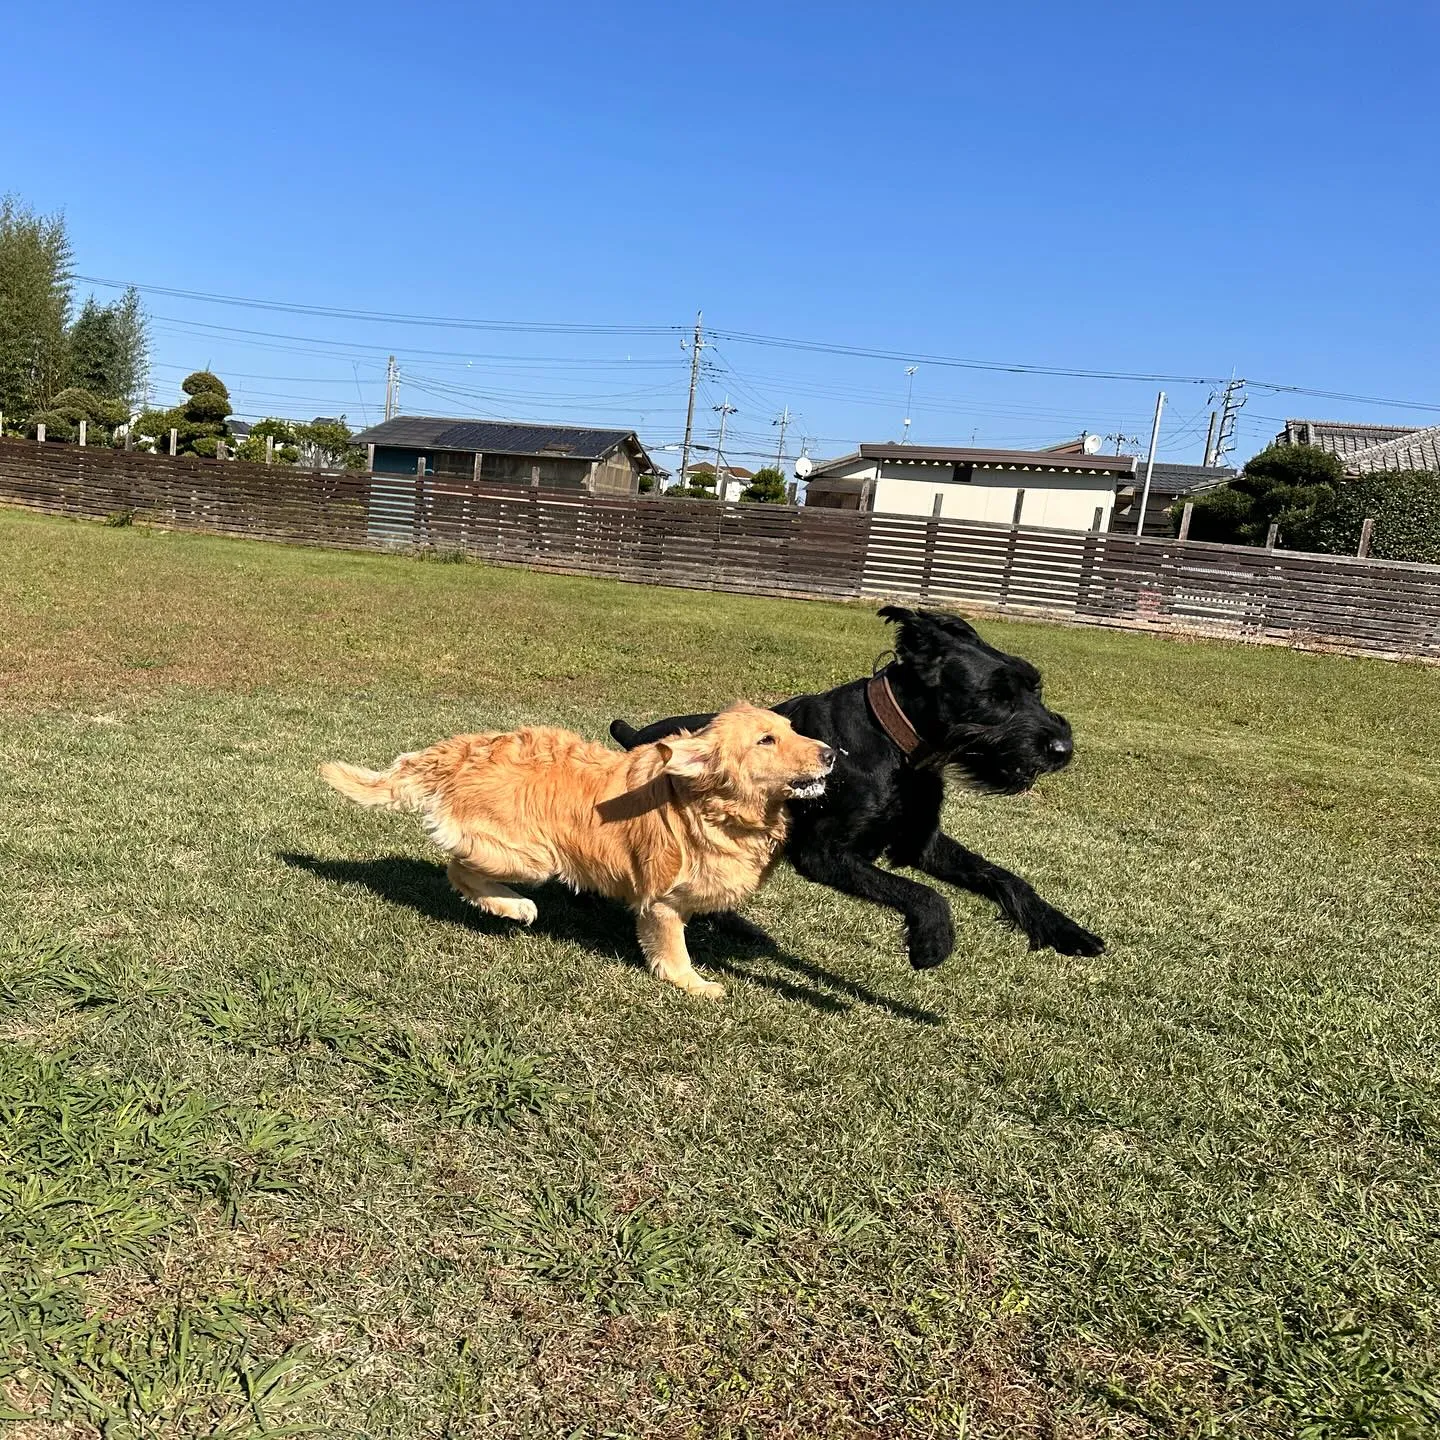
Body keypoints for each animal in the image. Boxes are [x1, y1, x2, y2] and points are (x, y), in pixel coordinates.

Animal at [607, 601, 1100, 973]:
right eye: (995, 696)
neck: (895, 747)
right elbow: (925, 894)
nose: (1063, 748)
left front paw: (1066, 931)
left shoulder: (920, 842)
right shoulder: (826, 855)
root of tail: (638, 737)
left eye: (1034, 687)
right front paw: (932, 941)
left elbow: (1004, 877)